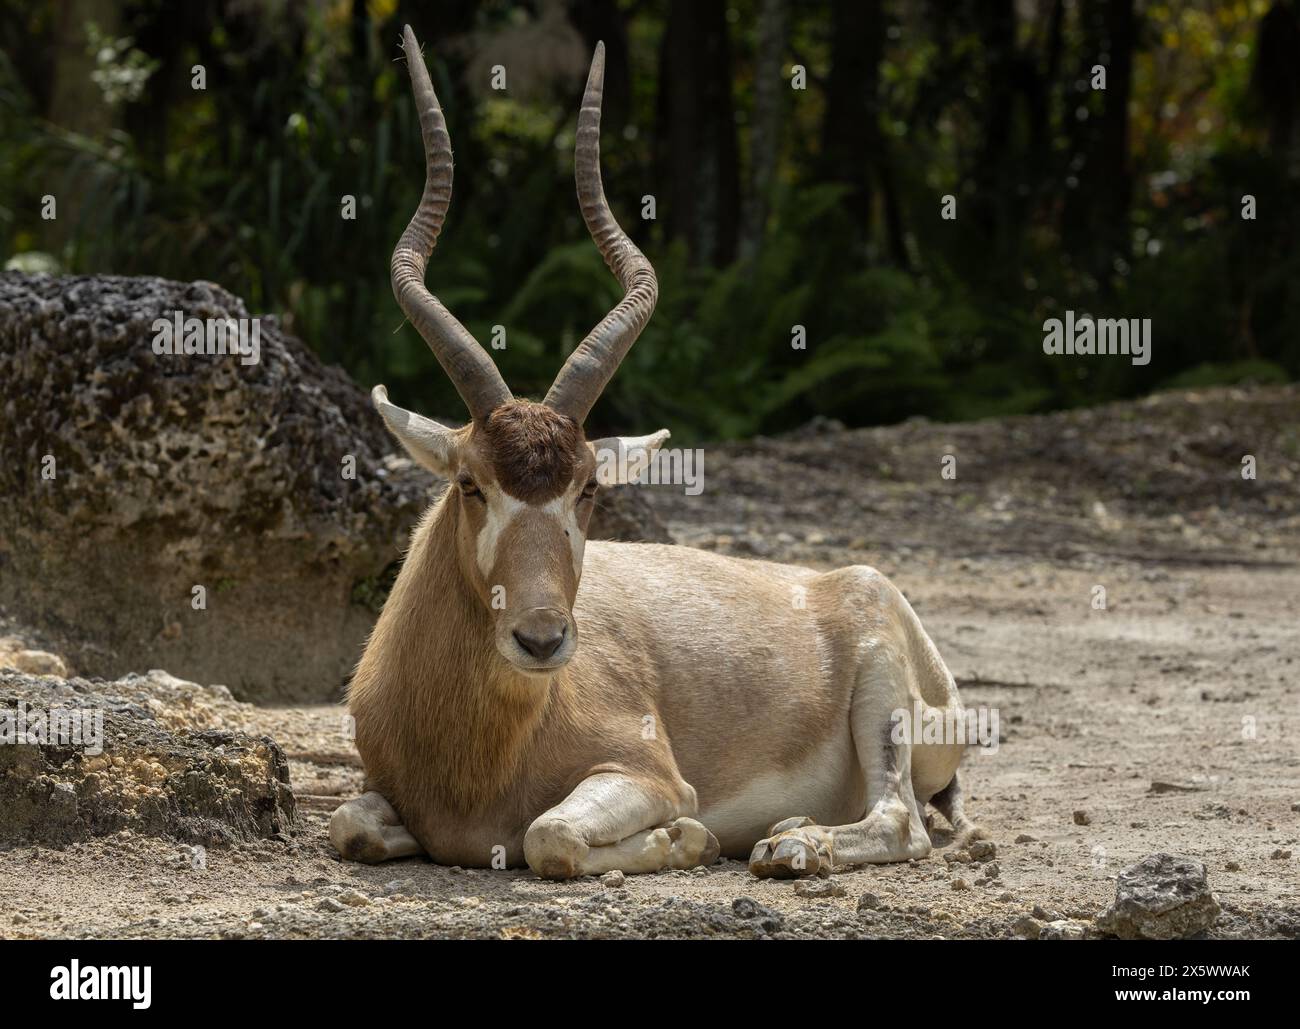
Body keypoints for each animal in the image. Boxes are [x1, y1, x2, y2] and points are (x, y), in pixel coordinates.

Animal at [330, 26, 977, 878]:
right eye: (471, 483)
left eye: (587, 488)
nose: (542, 639)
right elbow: (352, 823)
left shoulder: (648, 774)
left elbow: (549, 834)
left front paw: (687, 837)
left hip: (881, 693)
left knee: (902, 818)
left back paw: (791, 842)